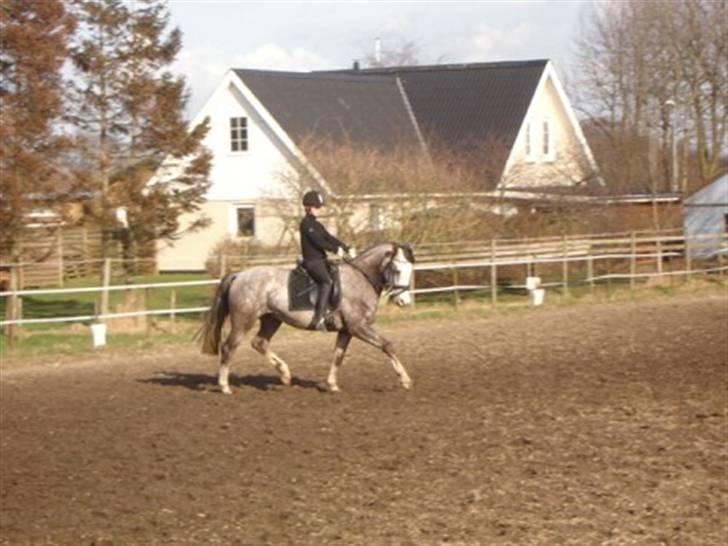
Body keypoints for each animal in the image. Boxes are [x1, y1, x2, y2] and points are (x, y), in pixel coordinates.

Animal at [199, 242, 416, 392]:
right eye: (397, 270)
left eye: (410, 270)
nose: (403, 301)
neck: (360, 279)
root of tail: (239, 275)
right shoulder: (358, 327)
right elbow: (387, 345)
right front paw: (405, 380)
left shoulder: (346, 330)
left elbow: (338, 356)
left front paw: (332, 385)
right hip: (243, 320)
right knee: (229, 347)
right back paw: (225, 386)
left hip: (272, 319)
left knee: (259, 343)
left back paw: (285, 375)